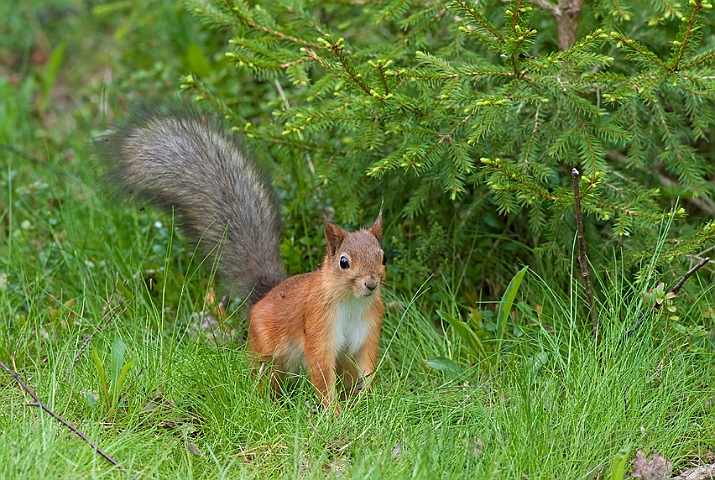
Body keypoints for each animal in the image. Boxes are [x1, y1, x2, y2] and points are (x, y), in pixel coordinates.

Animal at [96, 105, 386, 412]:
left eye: (383, 257)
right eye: (344, 261)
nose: (371, 284)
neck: (352, 302)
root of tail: (264, 297)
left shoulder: (367, 332)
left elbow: (367, 367)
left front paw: (371, 401)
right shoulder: (318, 326)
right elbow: (321, 371)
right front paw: (333, 413)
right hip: (267, 352)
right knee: (265, 378)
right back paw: (269, 404)